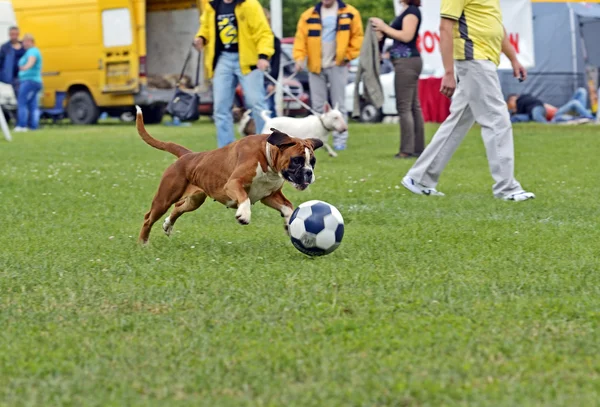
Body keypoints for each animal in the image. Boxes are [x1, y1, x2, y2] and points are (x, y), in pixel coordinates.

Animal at [136, 106, 324, 245]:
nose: (309, 173)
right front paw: (244, 214)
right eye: (297, 161)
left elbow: (288, 207)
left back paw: (167, 225)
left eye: (313, 162)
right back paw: (143, 243)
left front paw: (288, 224)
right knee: (148, 218)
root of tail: (188, 155)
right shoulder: (233, 184)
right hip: (164, 199)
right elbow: (244, 198)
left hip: (194, 200)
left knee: (178, 208)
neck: (266, 156)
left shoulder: (270, 196)